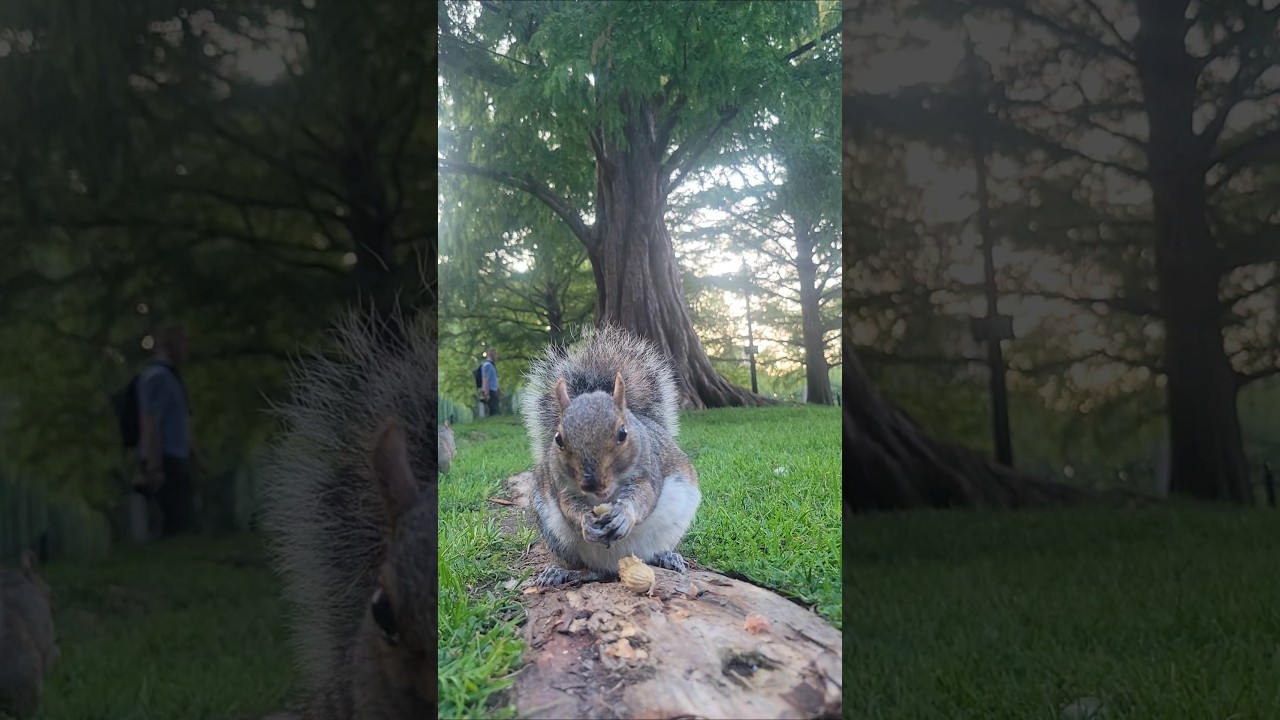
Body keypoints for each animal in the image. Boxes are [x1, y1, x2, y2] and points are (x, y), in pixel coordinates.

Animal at [521, 325, 701, 587]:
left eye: (622, 433)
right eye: (558, 438)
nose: (592, 483)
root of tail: (617, 562)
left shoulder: (648, 472)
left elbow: (644, 497)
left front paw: (625, 515)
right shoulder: (561, 485)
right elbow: (568, 506)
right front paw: (585, 523)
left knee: (647, 556)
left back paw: (667, 557)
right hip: (556, 537)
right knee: (593, 572)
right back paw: (561, 572)